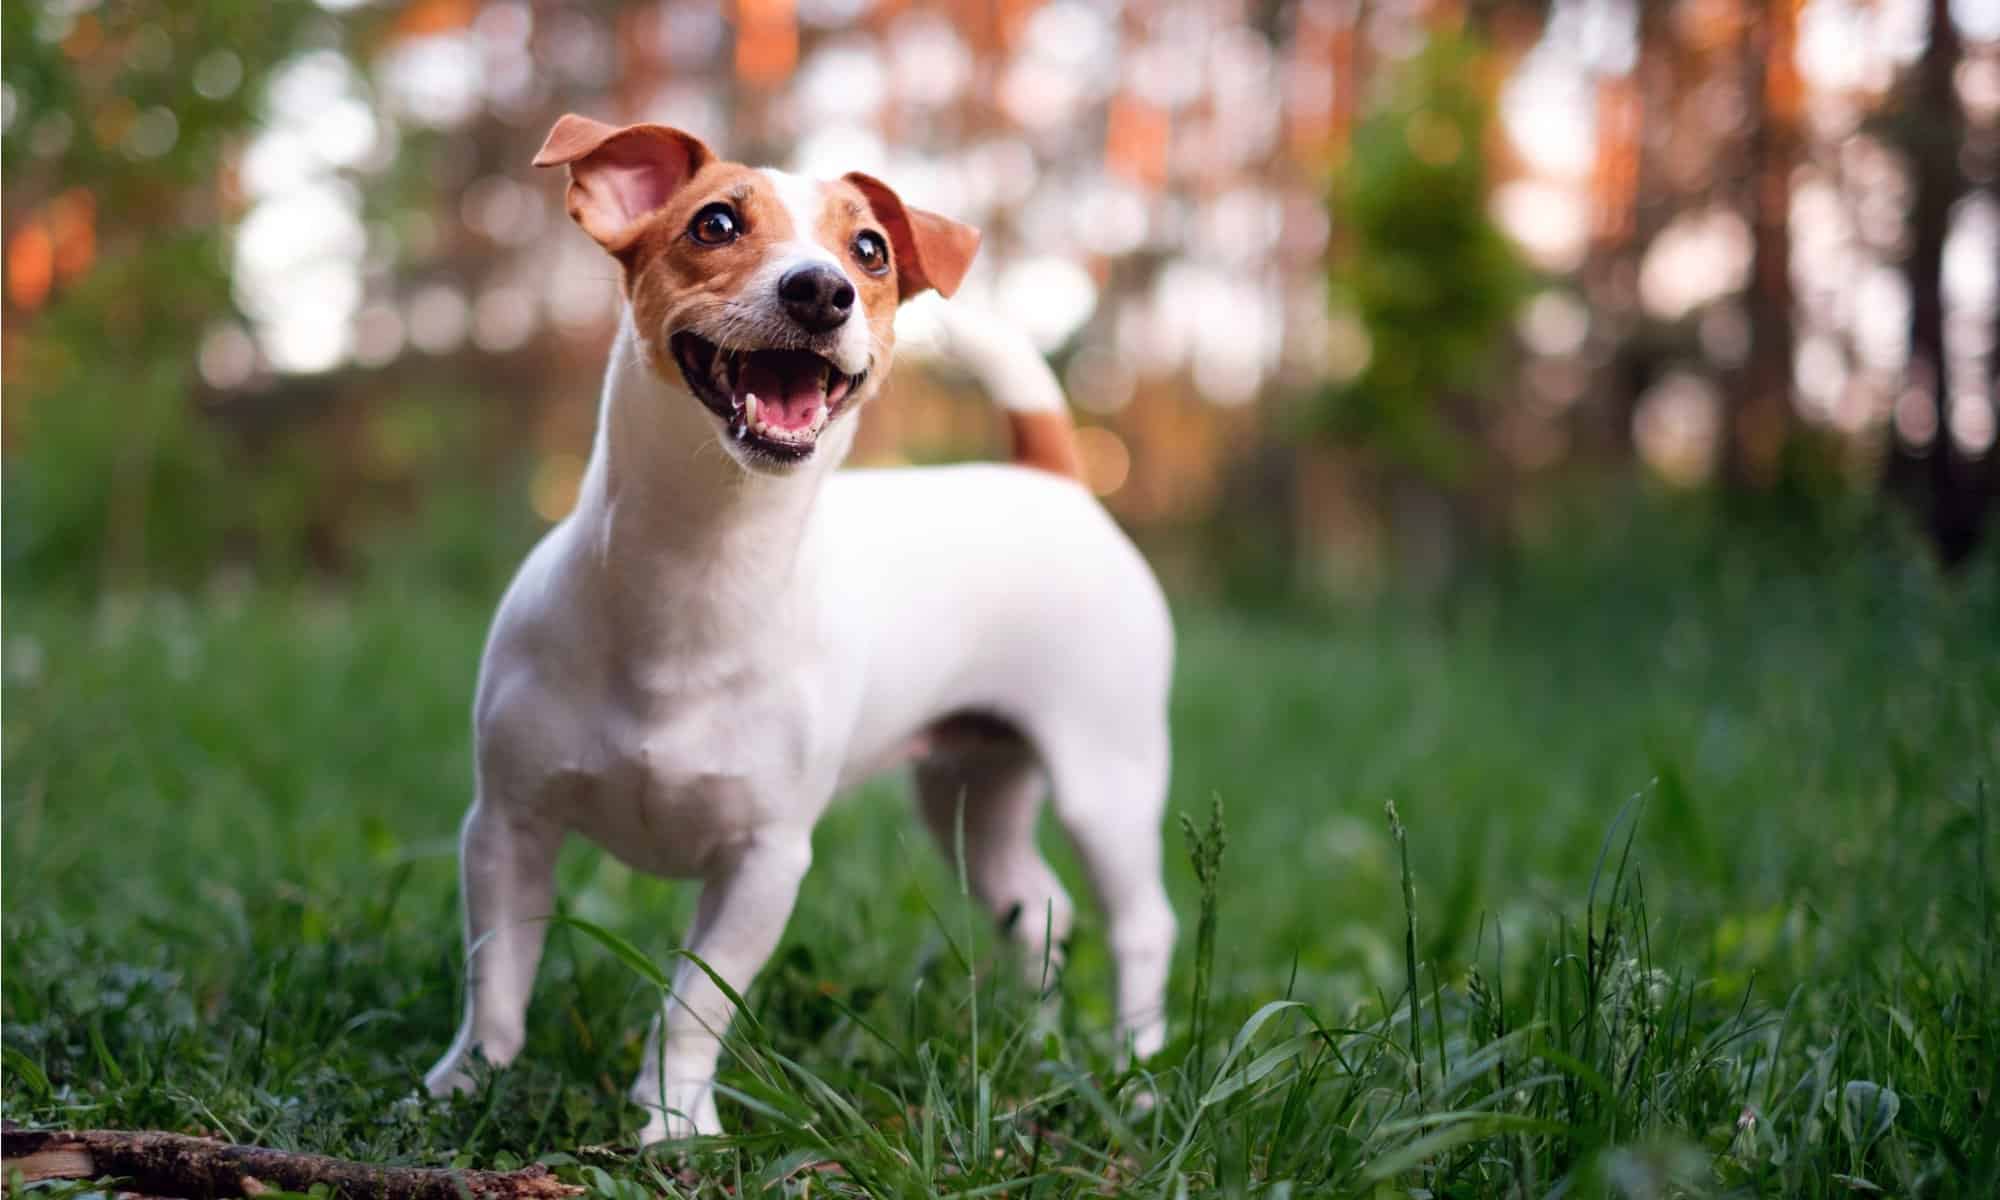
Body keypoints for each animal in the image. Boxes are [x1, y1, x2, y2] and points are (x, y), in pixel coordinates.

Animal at [422, 115, 1168, 1144]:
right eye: (715, 223)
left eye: (872, 250)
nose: (821, 289)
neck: (696, 568)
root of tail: (1051, 476)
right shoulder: (507, 826)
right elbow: (496, 974)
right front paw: (469, 1085)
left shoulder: (765, 863)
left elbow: (693, 1006)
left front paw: (673, 1124)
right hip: (970, 792)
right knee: (1036, 904)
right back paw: (1035, 1035)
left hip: (1108, 783)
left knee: (1142, 926)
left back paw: (1136, 1075)